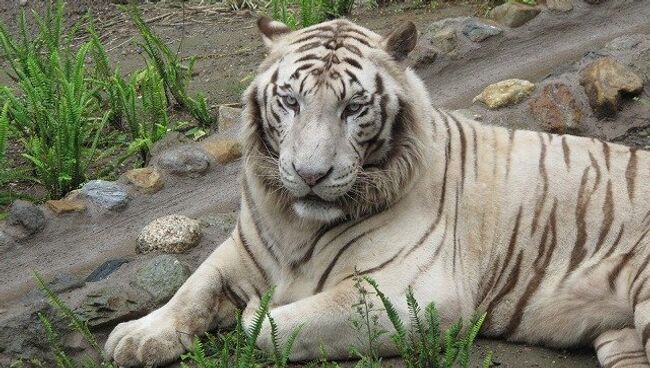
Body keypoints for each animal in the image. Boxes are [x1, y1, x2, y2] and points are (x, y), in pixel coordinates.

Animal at [106, 15, 648, 366]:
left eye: (353, 107)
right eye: (291, 101)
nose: (310, 174)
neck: (294, 222)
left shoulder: (414, 292)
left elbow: (263, 326)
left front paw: (256, 313)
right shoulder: (241, 248)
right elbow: (192, 288)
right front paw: (136, 336)